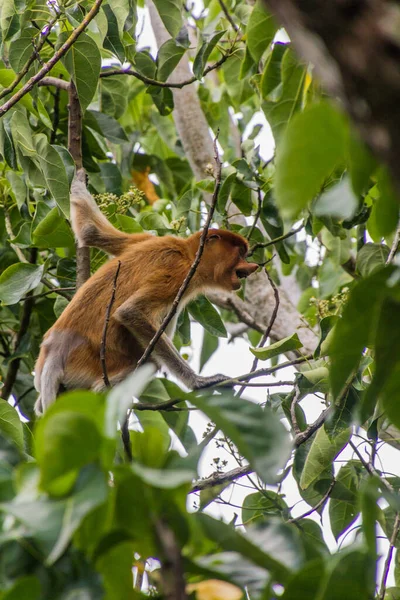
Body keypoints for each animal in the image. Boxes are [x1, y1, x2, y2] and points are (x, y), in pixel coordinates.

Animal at [34, 176, 260, 414]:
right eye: (240, 253)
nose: (253, 266)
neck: (187, 252)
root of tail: (55, 350)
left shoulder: (146, 239)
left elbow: (91, 232)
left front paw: (78, 180)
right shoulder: (177, 272)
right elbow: (129, 312)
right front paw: (200, 382)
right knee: (152, 361)